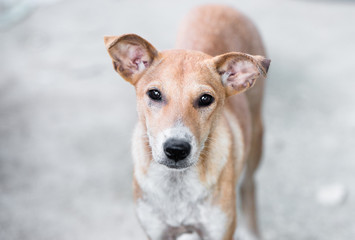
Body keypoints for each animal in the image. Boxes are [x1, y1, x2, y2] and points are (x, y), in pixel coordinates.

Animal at [104, 3, 272, 240]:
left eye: (206, 99)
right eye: (154, 94)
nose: (176, 149)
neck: (177, 184)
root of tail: (220, 5)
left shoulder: (219, 230)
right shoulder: (156, 232)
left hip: (257, 138)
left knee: (249, 186)